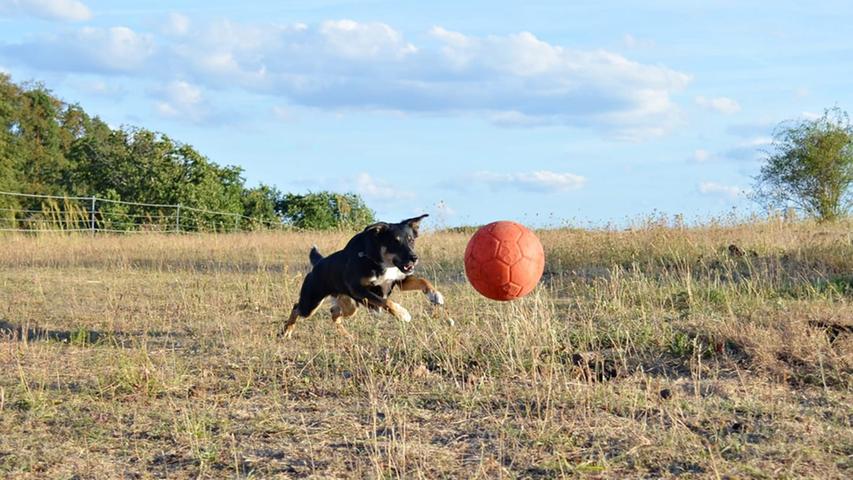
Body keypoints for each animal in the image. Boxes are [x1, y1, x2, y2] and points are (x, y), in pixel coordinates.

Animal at [282, 214, 450, 338]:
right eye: (395, 242)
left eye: (411, 240)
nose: (414, 258)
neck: (380, 261)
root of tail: (319, 262)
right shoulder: (359, 289)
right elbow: (385, 301)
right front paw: (402, 313)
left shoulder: (399, 280)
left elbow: (422, 280)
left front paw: (435, 295)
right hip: (311, 304)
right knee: (297, 307)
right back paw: (286, 331)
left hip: (350, 306)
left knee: (334, 313)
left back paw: (346, 335)